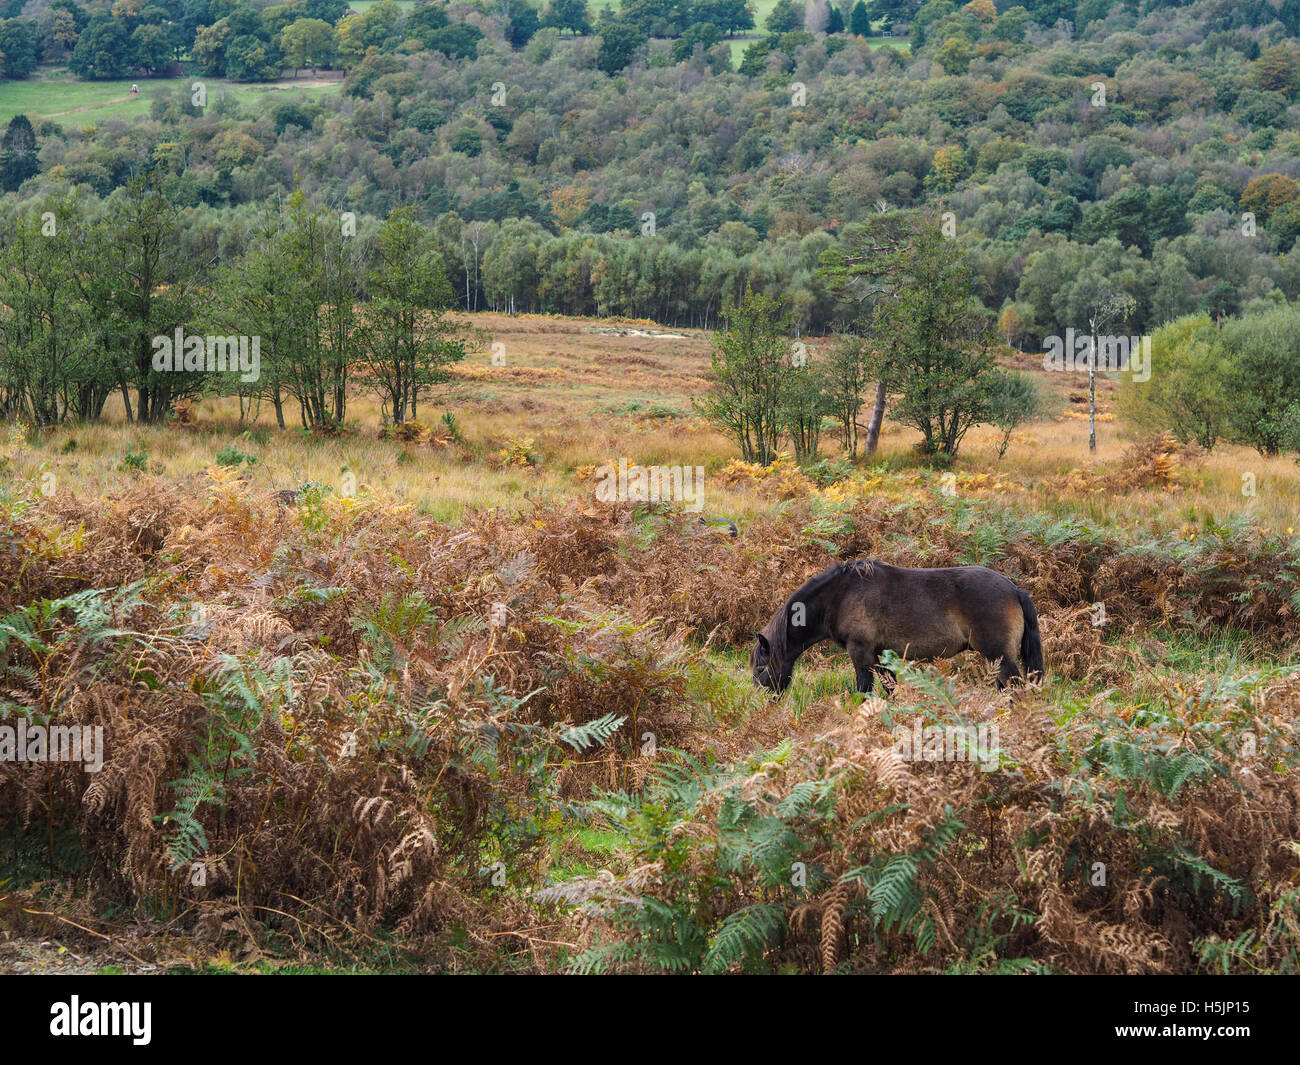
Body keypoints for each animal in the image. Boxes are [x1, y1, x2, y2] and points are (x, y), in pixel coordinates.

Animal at [751, 559, 1044, 695]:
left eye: (761, 669)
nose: (765, 701)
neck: (840, 595)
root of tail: (1015, 589)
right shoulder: (881, 656)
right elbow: (890, 690)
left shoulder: (861, 653)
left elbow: (864, 691)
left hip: (1000, 656)